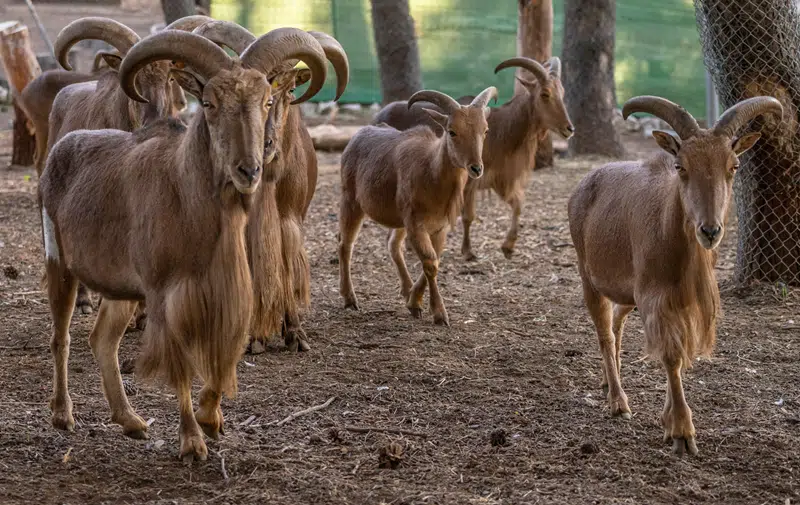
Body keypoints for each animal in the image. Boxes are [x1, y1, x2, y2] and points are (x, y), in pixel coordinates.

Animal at [39, 28, 328, 462]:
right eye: (208, 103)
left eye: (267, 100)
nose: (249, 169)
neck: (188, 200)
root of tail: (62, 146)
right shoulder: (166, 295)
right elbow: (182, 368)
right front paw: (192, 440)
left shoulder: (226, 293)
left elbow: (224, 355)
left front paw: (213, 420)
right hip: (61, 266)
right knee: (62, 337)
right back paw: (62, 415)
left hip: (121, 290)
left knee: (102, 341)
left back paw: (131, 421)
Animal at [339, 87, 497, 326]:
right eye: (451, 131)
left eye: (485, 130)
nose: (476, 168)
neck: (431, 173)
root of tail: (356, 137)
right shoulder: (416, 225)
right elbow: (430, 262)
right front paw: (438, 313)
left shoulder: (438, 228)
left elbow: (434, 260)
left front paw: (414, 301)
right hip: (351, 202)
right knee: (345, 245)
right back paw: (350, 299)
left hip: (398, 221)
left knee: (393, 245)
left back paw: (405, 289)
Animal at [373, 57, 574, 260]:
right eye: (545, 94)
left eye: (562, 92)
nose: (569, 129)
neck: (503, 128)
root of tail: (379, 115)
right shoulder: (470, 182)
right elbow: (468, 216)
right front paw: (468, 251)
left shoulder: (497, 179)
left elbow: (517, 204)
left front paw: (508, 246)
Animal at [567, 94, 783, 456]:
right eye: (681, 166)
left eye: (733, 166)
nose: (709, 231)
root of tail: (582, 184)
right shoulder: (654, 297)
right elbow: (670, 356)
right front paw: (682, 431)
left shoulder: (678, 301)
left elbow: (679, 357)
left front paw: (669, 420)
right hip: (589, 278)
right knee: (605, 333)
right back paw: (618, 401)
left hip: (626, 291)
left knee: (616, 321)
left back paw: (609, 379)